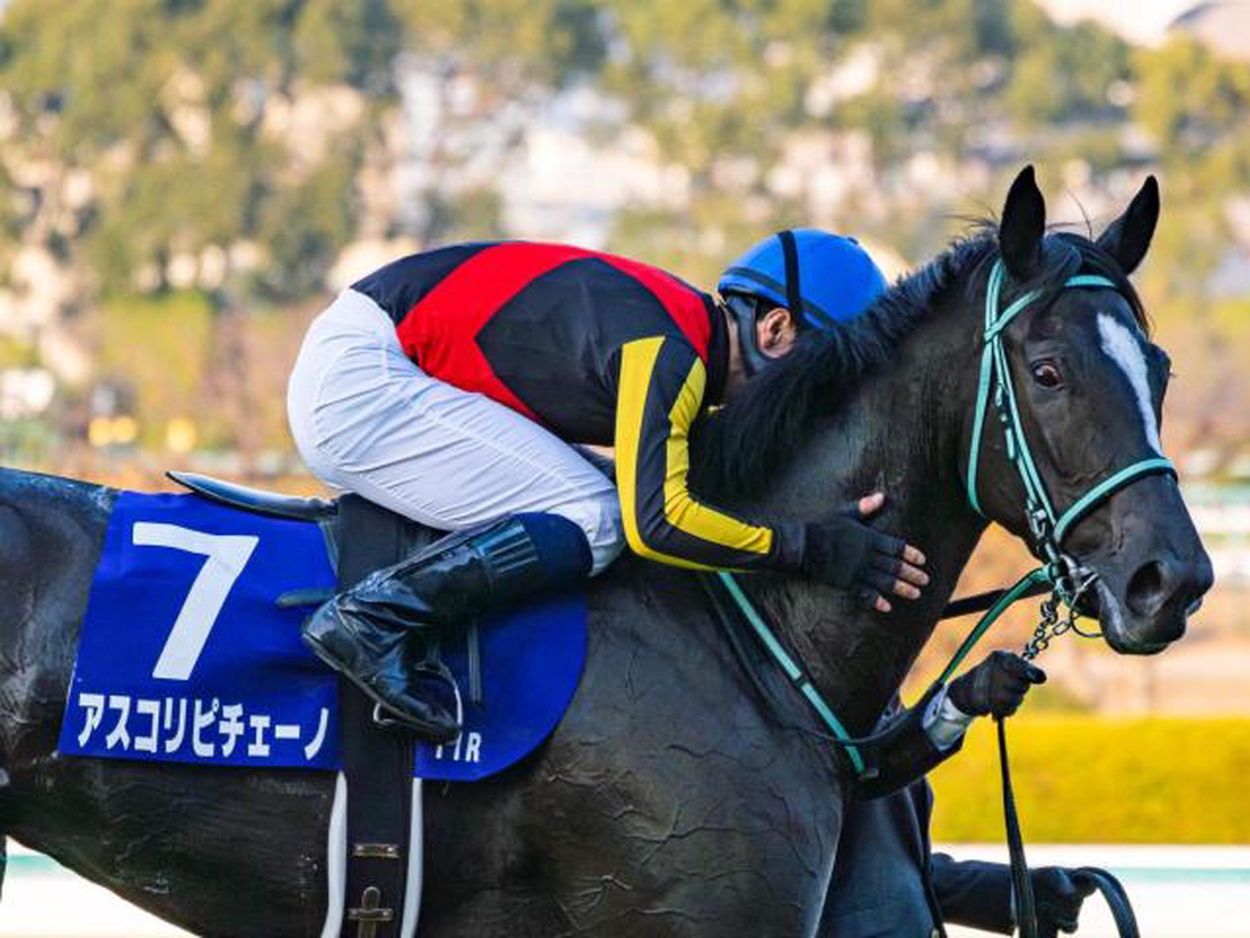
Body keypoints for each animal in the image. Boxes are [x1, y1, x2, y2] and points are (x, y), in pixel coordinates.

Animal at [0, 167, 1215, 935]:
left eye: (1158, 368)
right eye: (1048, 371)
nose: (1174, 579)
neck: (744, 631)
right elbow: (636, 505)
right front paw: (847, 550)